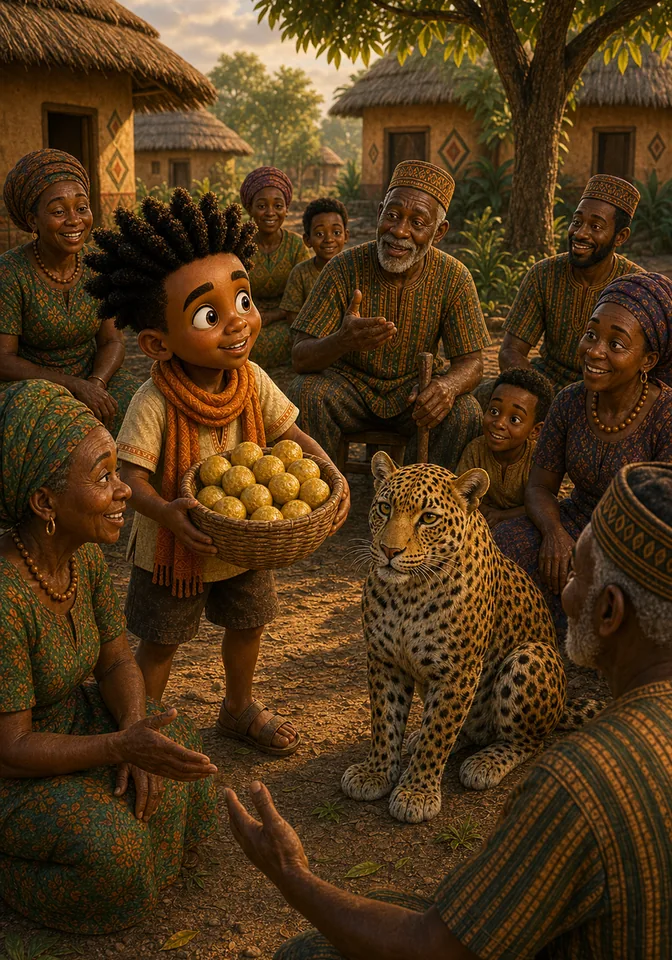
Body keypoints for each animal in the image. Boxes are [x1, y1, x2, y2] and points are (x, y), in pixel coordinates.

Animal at [342, 451, 602, 824]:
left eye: (428, 518)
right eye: (384, 508)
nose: (389, 551)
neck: (407, 593)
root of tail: (562, 706)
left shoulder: (458, 670)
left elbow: (438, 733)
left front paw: (416, 792)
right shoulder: (384, 658)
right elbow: (384, 719)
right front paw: (375, 772)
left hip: (532, 655)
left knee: (528, 740)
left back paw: (485, 763)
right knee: (461, 727)